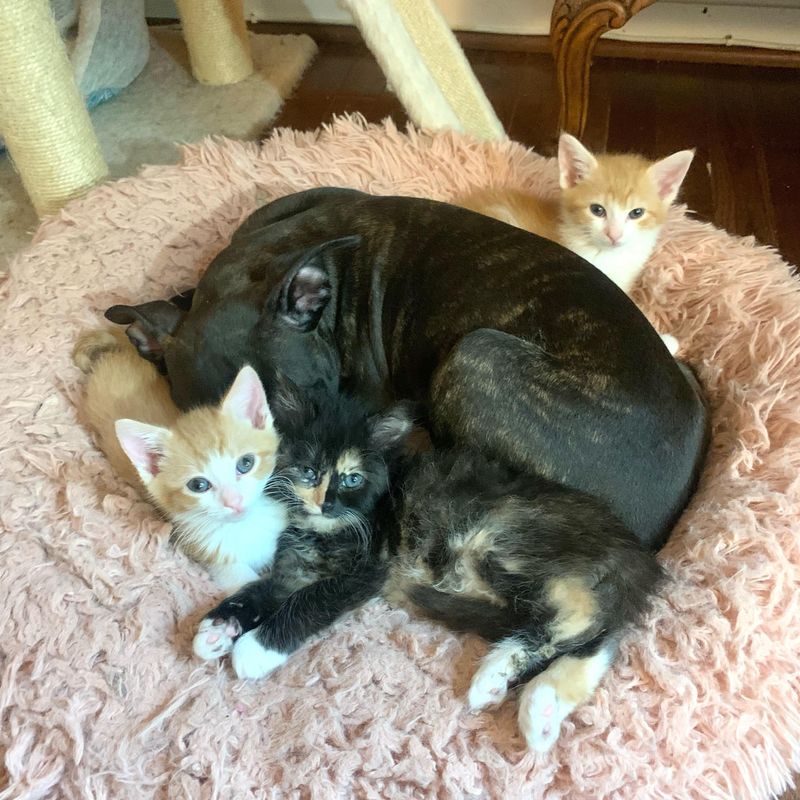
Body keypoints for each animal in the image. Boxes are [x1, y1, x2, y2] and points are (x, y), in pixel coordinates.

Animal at [73, 326, 288, 592]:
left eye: (245, 463)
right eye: (198, 485)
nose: (235, 502)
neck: (245, 527)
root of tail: (118, 356)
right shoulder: (216, 560)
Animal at [190, 394, 410, 680]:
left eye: (352, 479)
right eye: (308, 472)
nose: (326, 505)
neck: (322, 531)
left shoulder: (369, 569)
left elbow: (311, 597)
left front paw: (256, 648)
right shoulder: (297, 564)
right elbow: (263, 588)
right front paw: (221, 626)